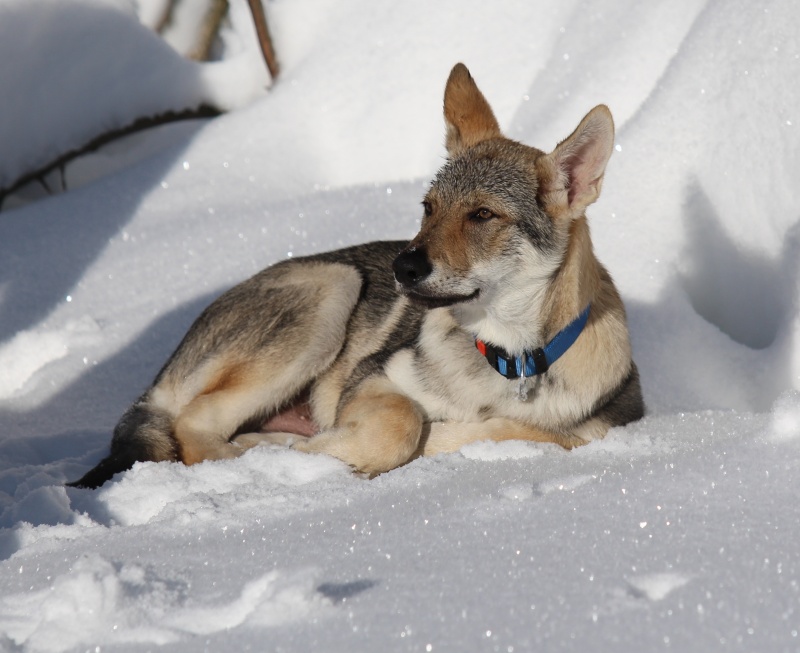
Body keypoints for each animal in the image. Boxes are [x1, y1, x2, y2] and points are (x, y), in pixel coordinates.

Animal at [69, 62, 644, 488]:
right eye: (428, 209)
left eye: (482, 215)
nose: (403, 266)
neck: (507, 357)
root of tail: (162, 374)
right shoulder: (372, 378)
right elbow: (404, 423)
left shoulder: (601, 427)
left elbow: (533, 435)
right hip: (334, 288)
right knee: (193, 428)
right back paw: (274, 455)